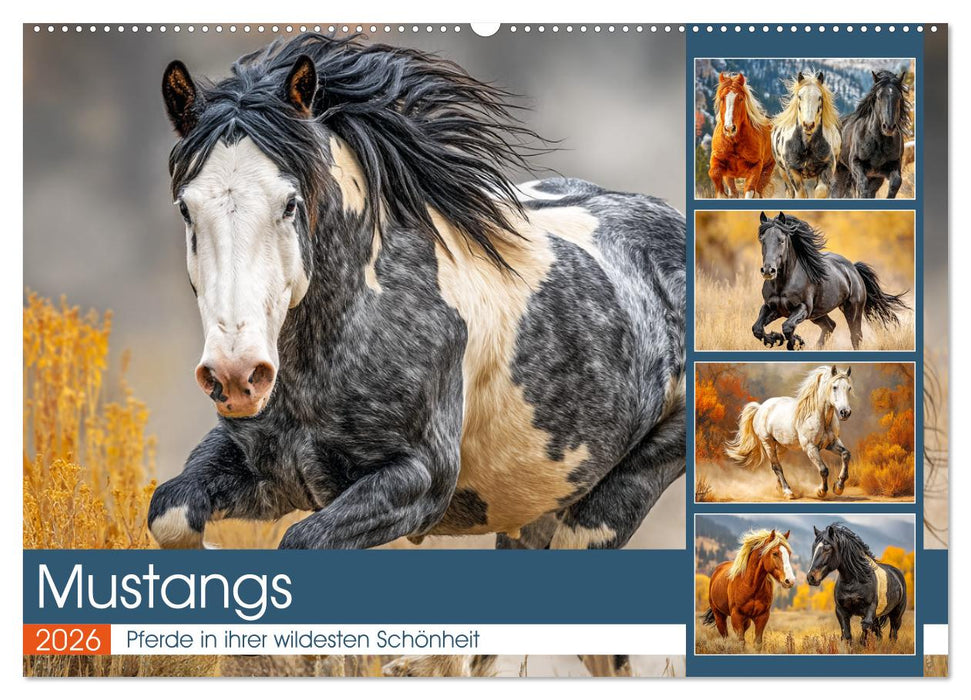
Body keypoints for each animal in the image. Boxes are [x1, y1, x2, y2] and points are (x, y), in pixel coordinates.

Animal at [146, 34, 686, 551]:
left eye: (289, 203)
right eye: (186, 208)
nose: (236, 376)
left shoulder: (420, 479)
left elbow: (302, 540)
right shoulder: (264, 469)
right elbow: (169, 513)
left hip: (610, 503)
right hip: (536, 510)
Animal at [726, 365, 853, 499]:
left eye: (849, 388)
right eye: (834, 387)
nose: (845, 412)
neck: (822, 419)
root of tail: (760, 408)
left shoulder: (832, 443)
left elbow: (846, 455)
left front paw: (838, 487)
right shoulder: (810, 448)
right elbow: (824, 470)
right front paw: (821, 491)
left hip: (781, 446)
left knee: (777, 465)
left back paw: (780, 488)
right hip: (768, 443)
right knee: (777, 466)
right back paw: (788, 491)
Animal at [751, 211, 908, 351]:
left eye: (781, 240)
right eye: (762, 240)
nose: (768, 270)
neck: (783, 284)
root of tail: (853, 269)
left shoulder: (803, 308)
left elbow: (788, 327)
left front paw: (795, 343)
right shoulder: (772, 307)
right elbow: (757, 328)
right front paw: (775, 339)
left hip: (852, 310)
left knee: (855, 336)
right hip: (818, 314)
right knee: (830, 326)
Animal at [833, 69, 912, 198]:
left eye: (899, 97)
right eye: (879, 97)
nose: (889, 127)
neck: (878, 142)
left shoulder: (892, 166)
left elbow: (896, 183)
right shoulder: (856, 163)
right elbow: (863, 186)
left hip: (874, 178)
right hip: (839, 171)